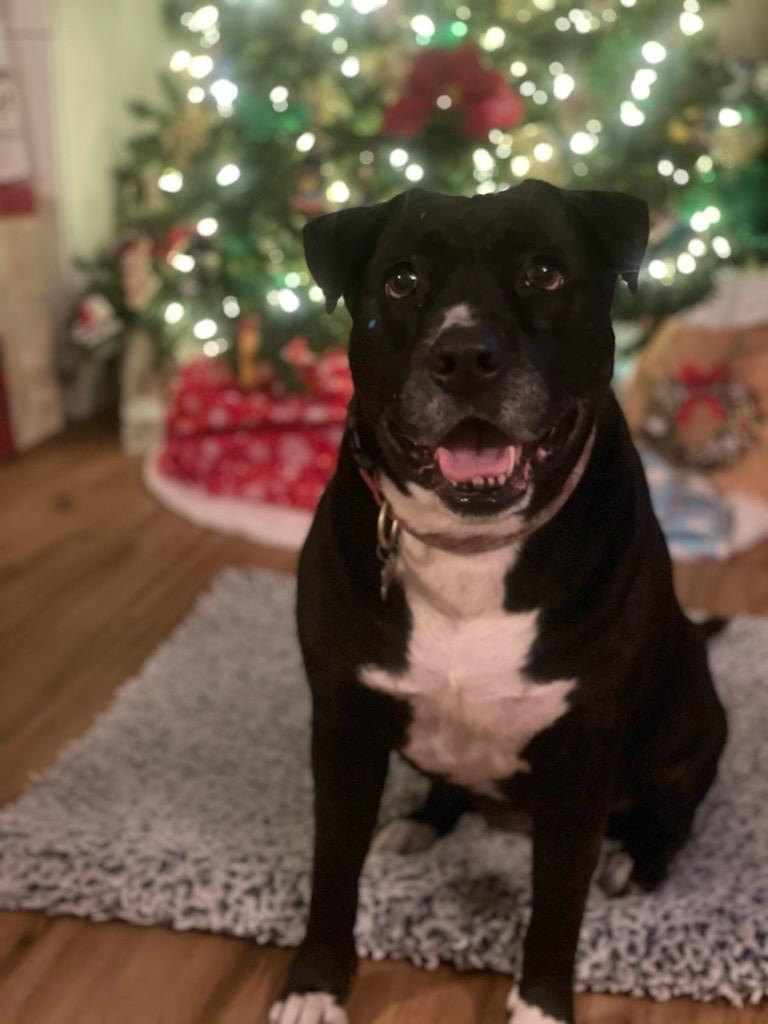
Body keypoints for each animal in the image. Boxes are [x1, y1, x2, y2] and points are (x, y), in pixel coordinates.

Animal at [268, 182, 729, 1024]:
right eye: (401, 281)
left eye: (545, 272)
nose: (464, 356)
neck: (470, 551)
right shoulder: (343, 730)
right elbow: (332, 870)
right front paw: (314, 986)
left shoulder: (583, 757)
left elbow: (559, 905)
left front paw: (541, 1006)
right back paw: (418, 825)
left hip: (688, 723)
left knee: (674, 812)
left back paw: (636, 860)